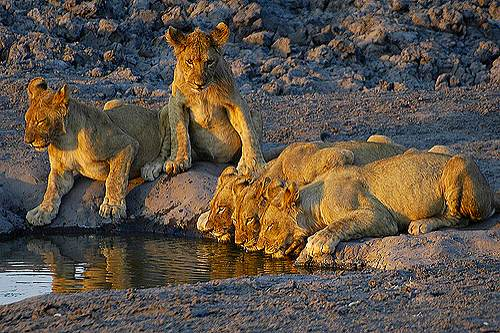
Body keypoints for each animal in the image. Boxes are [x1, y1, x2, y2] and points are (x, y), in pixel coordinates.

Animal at [24, 76, 168, 224]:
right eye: (26, 121)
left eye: (40, 121)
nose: (27, 141)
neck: (65, 140)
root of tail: (151, 110)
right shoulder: (61, 170)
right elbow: (52, 189)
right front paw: (42, 211)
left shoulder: (127, 144)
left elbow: (115, 178)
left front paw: (112, 206)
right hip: (111, 102)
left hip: (167, 112)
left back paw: (150, 168)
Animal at [141, 21, 266, 180]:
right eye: (189, 61)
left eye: (209, 62)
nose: (199, 84)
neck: (203, 93)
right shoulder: (175, 102)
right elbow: (179, 132)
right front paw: (178, 161)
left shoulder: (236, 102)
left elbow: (248, 132)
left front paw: (253, 166)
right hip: (164, 110)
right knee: (165, 148)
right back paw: (152, 167)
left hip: (255, 113)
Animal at [256, 150, 498, 264]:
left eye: (269, 226)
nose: (259, 247)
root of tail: (489, 188)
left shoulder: (380, 216)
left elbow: (342, 222)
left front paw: (318, 241)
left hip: (459, 163)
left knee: (460, 218)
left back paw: (421, 224)